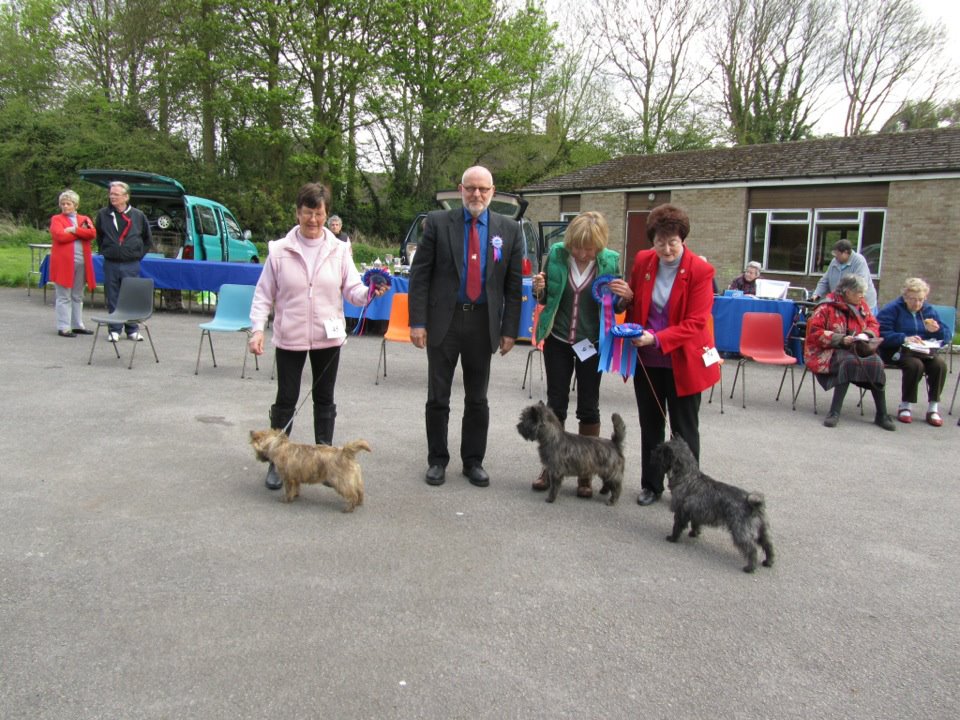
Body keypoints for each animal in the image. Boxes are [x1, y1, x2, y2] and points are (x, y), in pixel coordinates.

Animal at [648, 436, 776, 572]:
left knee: (751, 549)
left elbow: (677, 527)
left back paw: (750, 567)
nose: (652, 453)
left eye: (660, 452)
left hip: (740, 532)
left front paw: (672, 538)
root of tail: (752, 505)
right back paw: (768, 562)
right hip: (763, 531)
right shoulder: (695, 512)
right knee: (768, 546)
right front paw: (694, 533)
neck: (687, 476)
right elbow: (695, 524)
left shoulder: (680, 513)